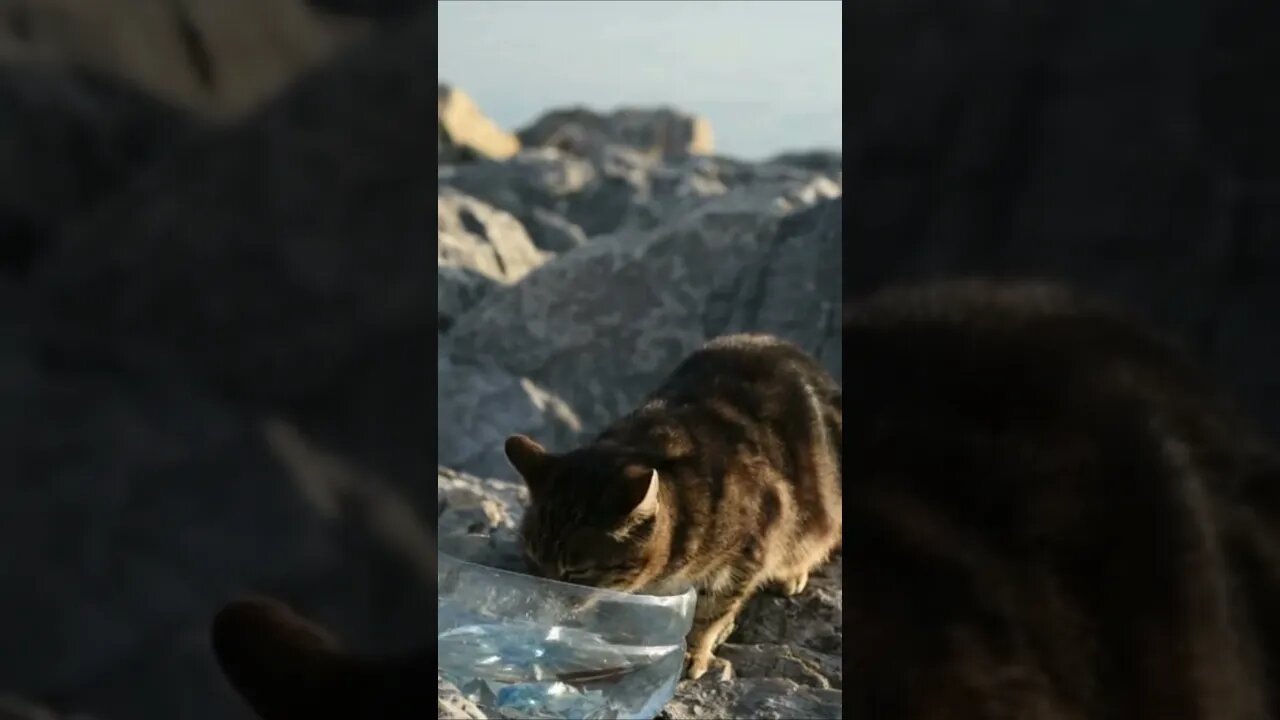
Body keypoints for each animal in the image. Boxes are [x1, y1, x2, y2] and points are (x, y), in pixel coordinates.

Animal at [504, 333, 844, 676]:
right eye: (532, 559)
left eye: (577, 572)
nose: (543, 602)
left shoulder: (749, 550)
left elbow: (710, 612)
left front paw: (692, 651)